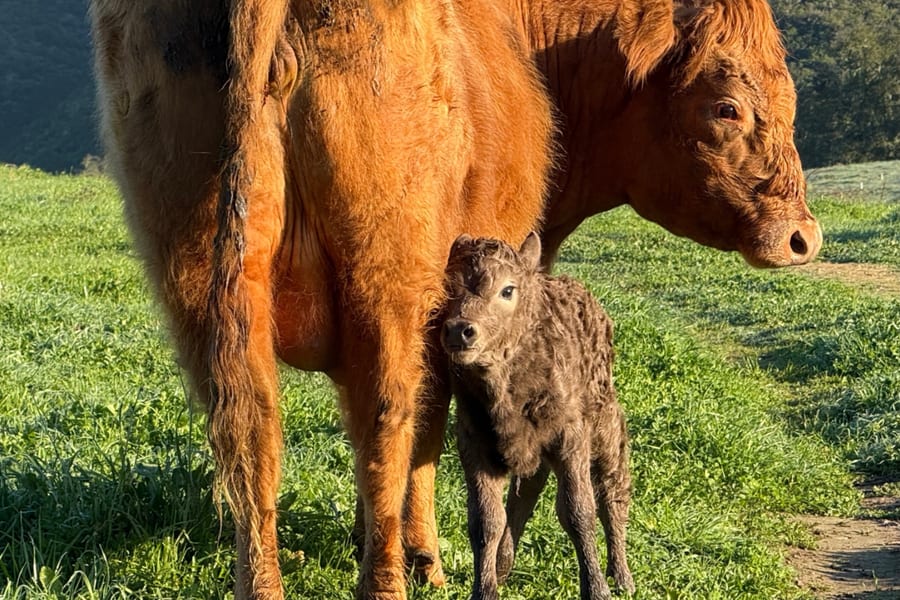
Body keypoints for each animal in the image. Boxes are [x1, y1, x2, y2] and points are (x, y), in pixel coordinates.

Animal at [442, 233, 633, 600]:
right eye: (446, 286)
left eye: (507, 290)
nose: (459, 330)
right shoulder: (474, 443)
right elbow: (486, 520)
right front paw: (485, 589)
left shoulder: (570, 437)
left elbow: (578, 511)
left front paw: (596, 588)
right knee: (524, 496)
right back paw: (503, 565)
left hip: (606, 425)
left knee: (612, 493)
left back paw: (622, 575)